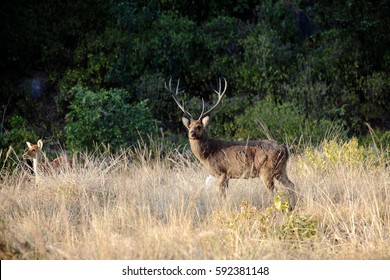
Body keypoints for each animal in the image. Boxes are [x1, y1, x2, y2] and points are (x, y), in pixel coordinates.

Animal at [166, 78, 298, 208]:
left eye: (199, 126)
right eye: (189, 126)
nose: (192, 133)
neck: (208, 153)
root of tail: (284, 149)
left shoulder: (222, 173)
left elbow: (222, 195)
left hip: (267, 170)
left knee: (275, 191)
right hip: (280, 169)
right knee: (291, 185)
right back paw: (293, 206)